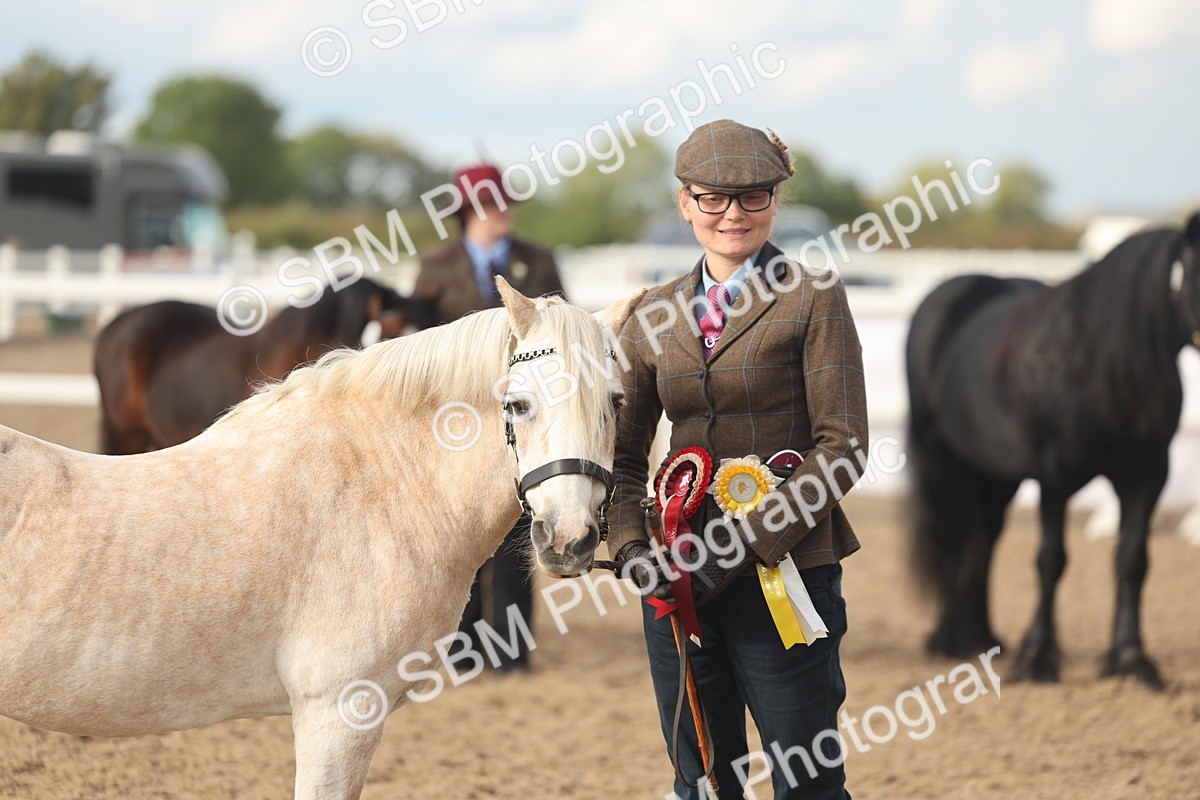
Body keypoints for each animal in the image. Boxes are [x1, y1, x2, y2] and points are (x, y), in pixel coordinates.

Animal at [907, 212, 1200, 689]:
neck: (1103, 363)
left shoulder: (1148, 476)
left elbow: (1133, 560)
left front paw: (1132, 660)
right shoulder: (1055, 476)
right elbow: (1051, 560)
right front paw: (1040, 659)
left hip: (995, 473)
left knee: (984, 538)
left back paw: (984, 636)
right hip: (941, 457)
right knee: (950, 534)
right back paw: (950, 639)